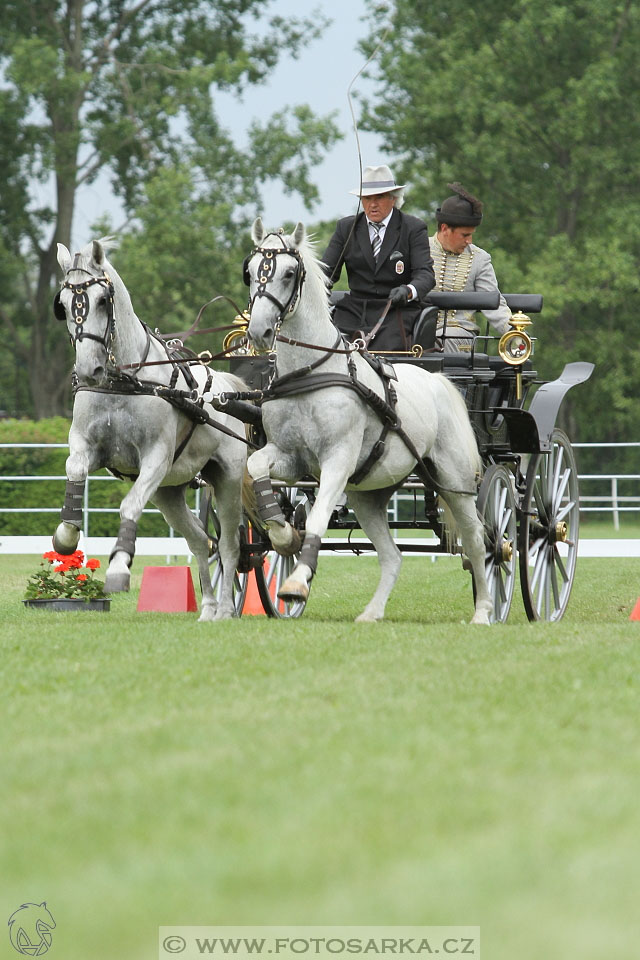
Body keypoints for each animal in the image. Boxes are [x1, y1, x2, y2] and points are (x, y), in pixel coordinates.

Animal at [52, 236, 249, 620]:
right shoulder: (86, 447)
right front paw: (65, 537)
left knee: (231, 545)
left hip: (228, 480)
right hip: (168, 493)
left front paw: (118, 567)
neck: (125, 382)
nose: (88, 371)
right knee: (201, 541)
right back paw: (207, 608)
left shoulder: (155, 458)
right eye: (64, 305)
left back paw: (225, 610)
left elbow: (129, 506)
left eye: (102, 300)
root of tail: (225, 384)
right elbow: (75, 472)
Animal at [242, 218, 492, 628]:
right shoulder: (291, 458)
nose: (258, 333)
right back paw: (372, 612)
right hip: (368, 495)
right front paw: (283, 536)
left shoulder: (337, 461)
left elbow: (318, 518)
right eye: (249, 272)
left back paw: (485, 610)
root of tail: (438, 379)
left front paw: (296, 583)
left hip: (455, 483)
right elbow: (256, 468)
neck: (312, 373)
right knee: (393, 555)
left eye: (290, 273)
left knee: (477, 541)